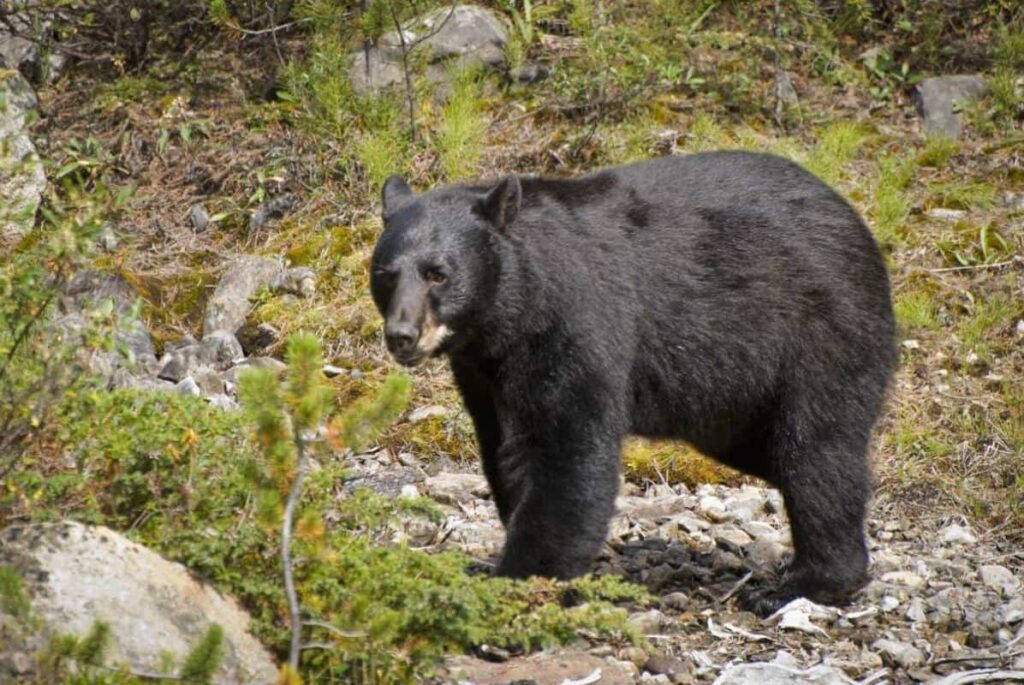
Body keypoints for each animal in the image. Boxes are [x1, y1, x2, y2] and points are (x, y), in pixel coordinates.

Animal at [370, 152, 897, 610]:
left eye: (438, 274)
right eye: (385, 274)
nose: (402, 335)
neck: (512, 312)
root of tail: (863, 232)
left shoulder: (578, 322)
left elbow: (569, 451)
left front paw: (521, 579)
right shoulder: (486, 370)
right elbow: (508, 449)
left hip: (821, 334)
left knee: (816, 454)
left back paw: (806, 583)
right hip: (738, 405)